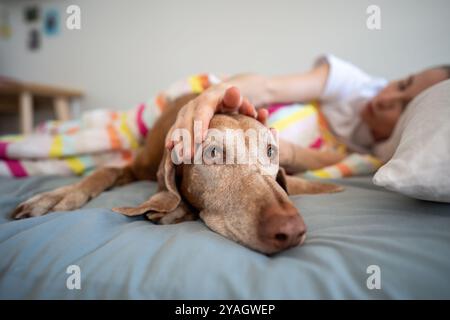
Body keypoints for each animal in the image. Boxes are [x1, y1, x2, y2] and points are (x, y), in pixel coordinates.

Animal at [9, 91, 342, 254]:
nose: (291, 230)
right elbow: (101, 172)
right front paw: (57, 196)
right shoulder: (132, 166)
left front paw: (176, 211)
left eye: (270, 151)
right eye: (212, 153)